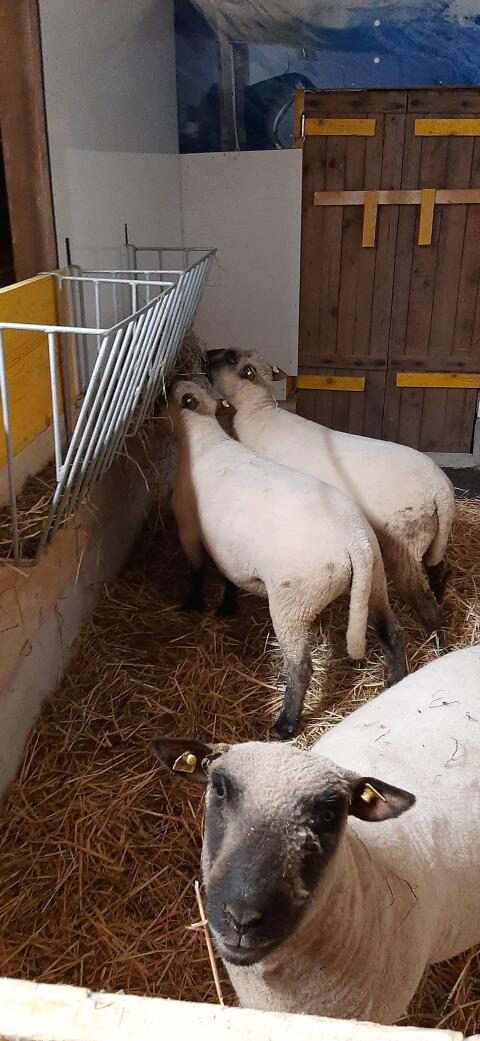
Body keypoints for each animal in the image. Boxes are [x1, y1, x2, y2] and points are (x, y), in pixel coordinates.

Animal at [167, 379, 405, 739]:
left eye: (169, 392)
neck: (203, 439)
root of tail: (356, 541)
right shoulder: (227, 550)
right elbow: (227, 576)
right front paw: (226, 605)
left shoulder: (188, 530)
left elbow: (196, 569)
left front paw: (193, 604)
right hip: (375, 580)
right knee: (390, 630)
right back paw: (396, 680)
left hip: (293, 601)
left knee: (301, 665)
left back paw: (285, 723)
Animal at [206, 348, 455, 642]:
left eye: (231, 358)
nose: (206, 353)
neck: (258, 411)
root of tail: (440, 490)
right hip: (432, 540)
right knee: (438, 570)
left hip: (405, 542)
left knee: (423, 597)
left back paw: (436, 641)